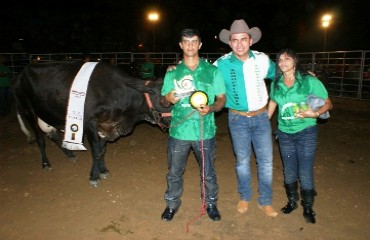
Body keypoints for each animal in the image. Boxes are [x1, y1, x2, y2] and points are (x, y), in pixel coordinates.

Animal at [12, 61, 171, 187]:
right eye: (164, 101)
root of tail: (21, 73)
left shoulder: (105, 126)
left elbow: (101, 150)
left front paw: (103, 171)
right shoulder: (90, 124)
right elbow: (95, 150)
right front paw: (94, 177)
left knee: (52, 134)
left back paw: (70, 154)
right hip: (28, 110)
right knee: (40, 139)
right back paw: (46, 164)